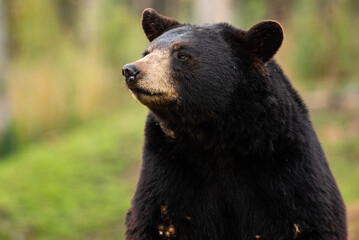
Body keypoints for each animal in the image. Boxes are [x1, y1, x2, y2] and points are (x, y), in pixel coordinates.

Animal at [121, 8, 348, 240]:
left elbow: (309, 216)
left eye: (182, 55)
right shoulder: (167, 163)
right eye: (147, 53)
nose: (130, 70)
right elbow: (154, 217)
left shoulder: (287, 163)